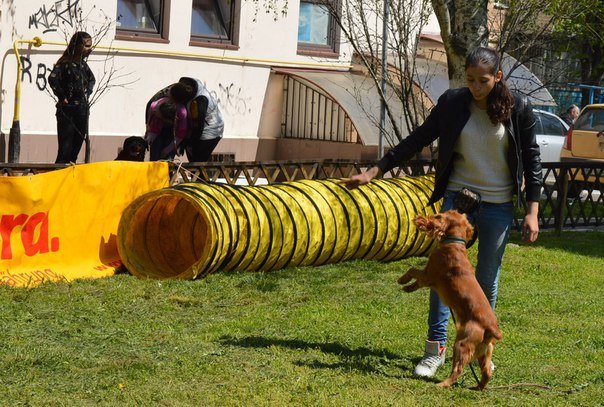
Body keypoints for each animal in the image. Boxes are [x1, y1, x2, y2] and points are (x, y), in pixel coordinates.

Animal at [398, 209, 502, 390]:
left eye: (438, 216)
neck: (455, 244)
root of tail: (490, 328)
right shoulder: (428, 278)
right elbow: (416, 282)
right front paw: (407, 287)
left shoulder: (428, 275)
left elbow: (412, 270)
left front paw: (402, 281)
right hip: (484, 352)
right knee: (487, 372)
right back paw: (478, 387)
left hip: (461, 344)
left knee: (458, 369)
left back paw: (442, 384)